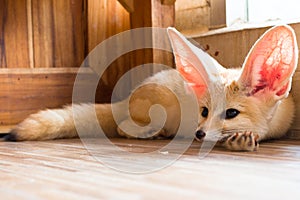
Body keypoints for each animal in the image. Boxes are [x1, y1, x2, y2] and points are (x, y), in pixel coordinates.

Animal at [4, 25, 298, 151]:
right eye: (204, 111)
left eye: (231, 113)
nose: (199, 133)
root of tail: (128, 97)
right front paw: (238, 141)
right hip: (158, 112)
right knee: (123, 127)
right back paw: (157, 134)